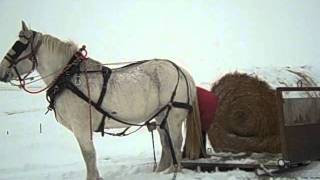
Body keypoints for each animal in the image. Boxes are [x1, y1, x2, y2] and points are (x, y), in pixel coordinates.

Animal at [0, 21, 201, 180]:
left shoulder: (81, 127)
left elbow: (89, 155)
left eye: (17, 46)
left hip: (173, 116)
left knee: (175, 143)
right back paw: (161, 171)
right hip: (161, 117)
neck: (69, 77)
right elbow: (90, 156)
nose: (1, 72)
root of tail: (182, 71)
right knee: (166, 143)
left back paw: (174, 171)